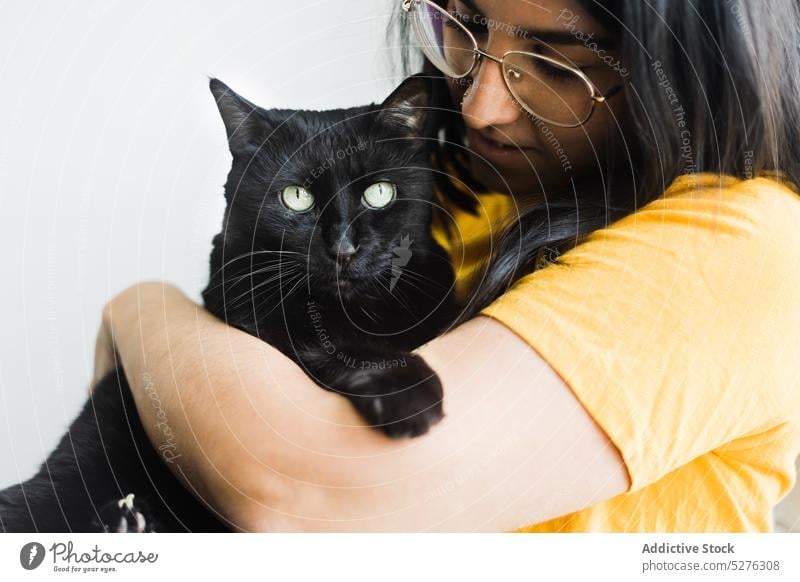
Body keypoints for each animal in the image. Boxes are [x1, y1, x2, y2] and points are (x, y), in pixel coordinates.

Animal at [0, 76, 454, 532]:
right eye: (296, 197)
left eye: (379, 193)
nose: (342, 248)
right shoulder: (247, 313)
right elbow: (330, 344)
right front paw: (409, 397)